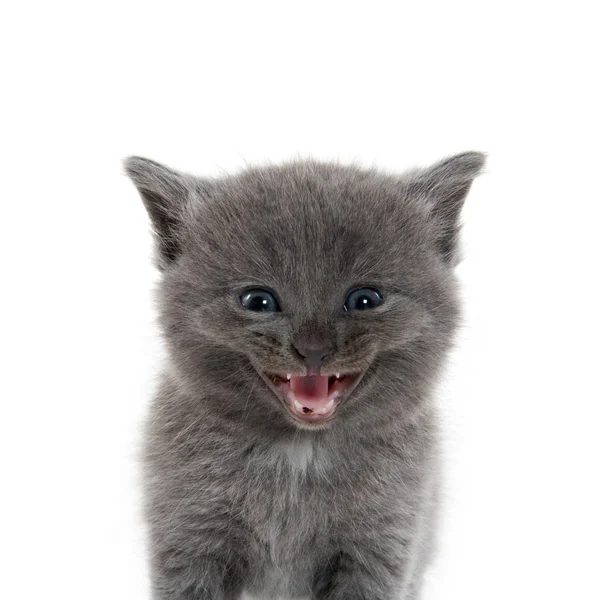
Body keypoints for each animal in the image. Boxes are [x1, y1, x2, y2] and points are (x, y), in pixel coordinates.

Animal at [124, 152, 484, 596]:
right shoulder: (188, 536)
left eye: (365, 299)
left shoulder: (382, 544)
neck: (299, 457)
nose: (313, 350)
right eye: (257, 300)